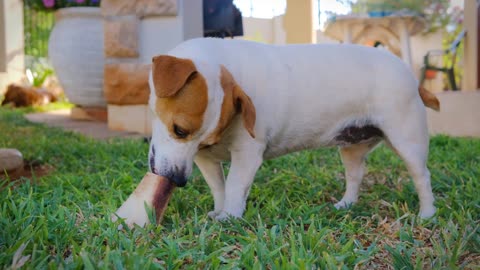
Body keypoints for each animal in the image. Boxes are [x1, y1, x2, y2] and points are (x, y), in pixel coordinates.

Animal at [146, 38, 438, 221]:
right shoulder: (205, 158)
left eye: (179, 130)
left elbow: (235, 186)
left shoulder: (247, 154)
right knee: (355, 176)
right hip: (352, 148)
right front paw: (219, 211)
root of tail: (409, 74)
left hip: (407, 141)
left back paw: (427, 214)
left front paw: (229, 217)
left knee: (422, 176)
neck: (228, 65)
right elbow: (219, 188)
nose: (177, 179)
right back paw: (346, 204)